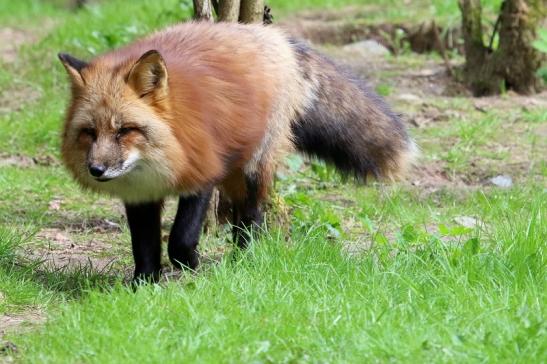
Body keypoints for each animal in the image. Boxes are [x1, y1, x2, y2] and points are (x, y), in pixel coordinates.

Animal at [58, 20, 416, 282]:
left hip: (253, 167)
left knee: (251, 218)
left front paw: (191, 268)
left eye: (124, 131)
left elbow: (180, 239)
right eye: (90, 133)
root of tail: (270, 34)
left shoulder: (203, 171)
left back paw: (243, 258)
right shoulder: (140, 194)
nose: (96, 170)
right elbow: (144, 246)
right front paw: (143, 285)